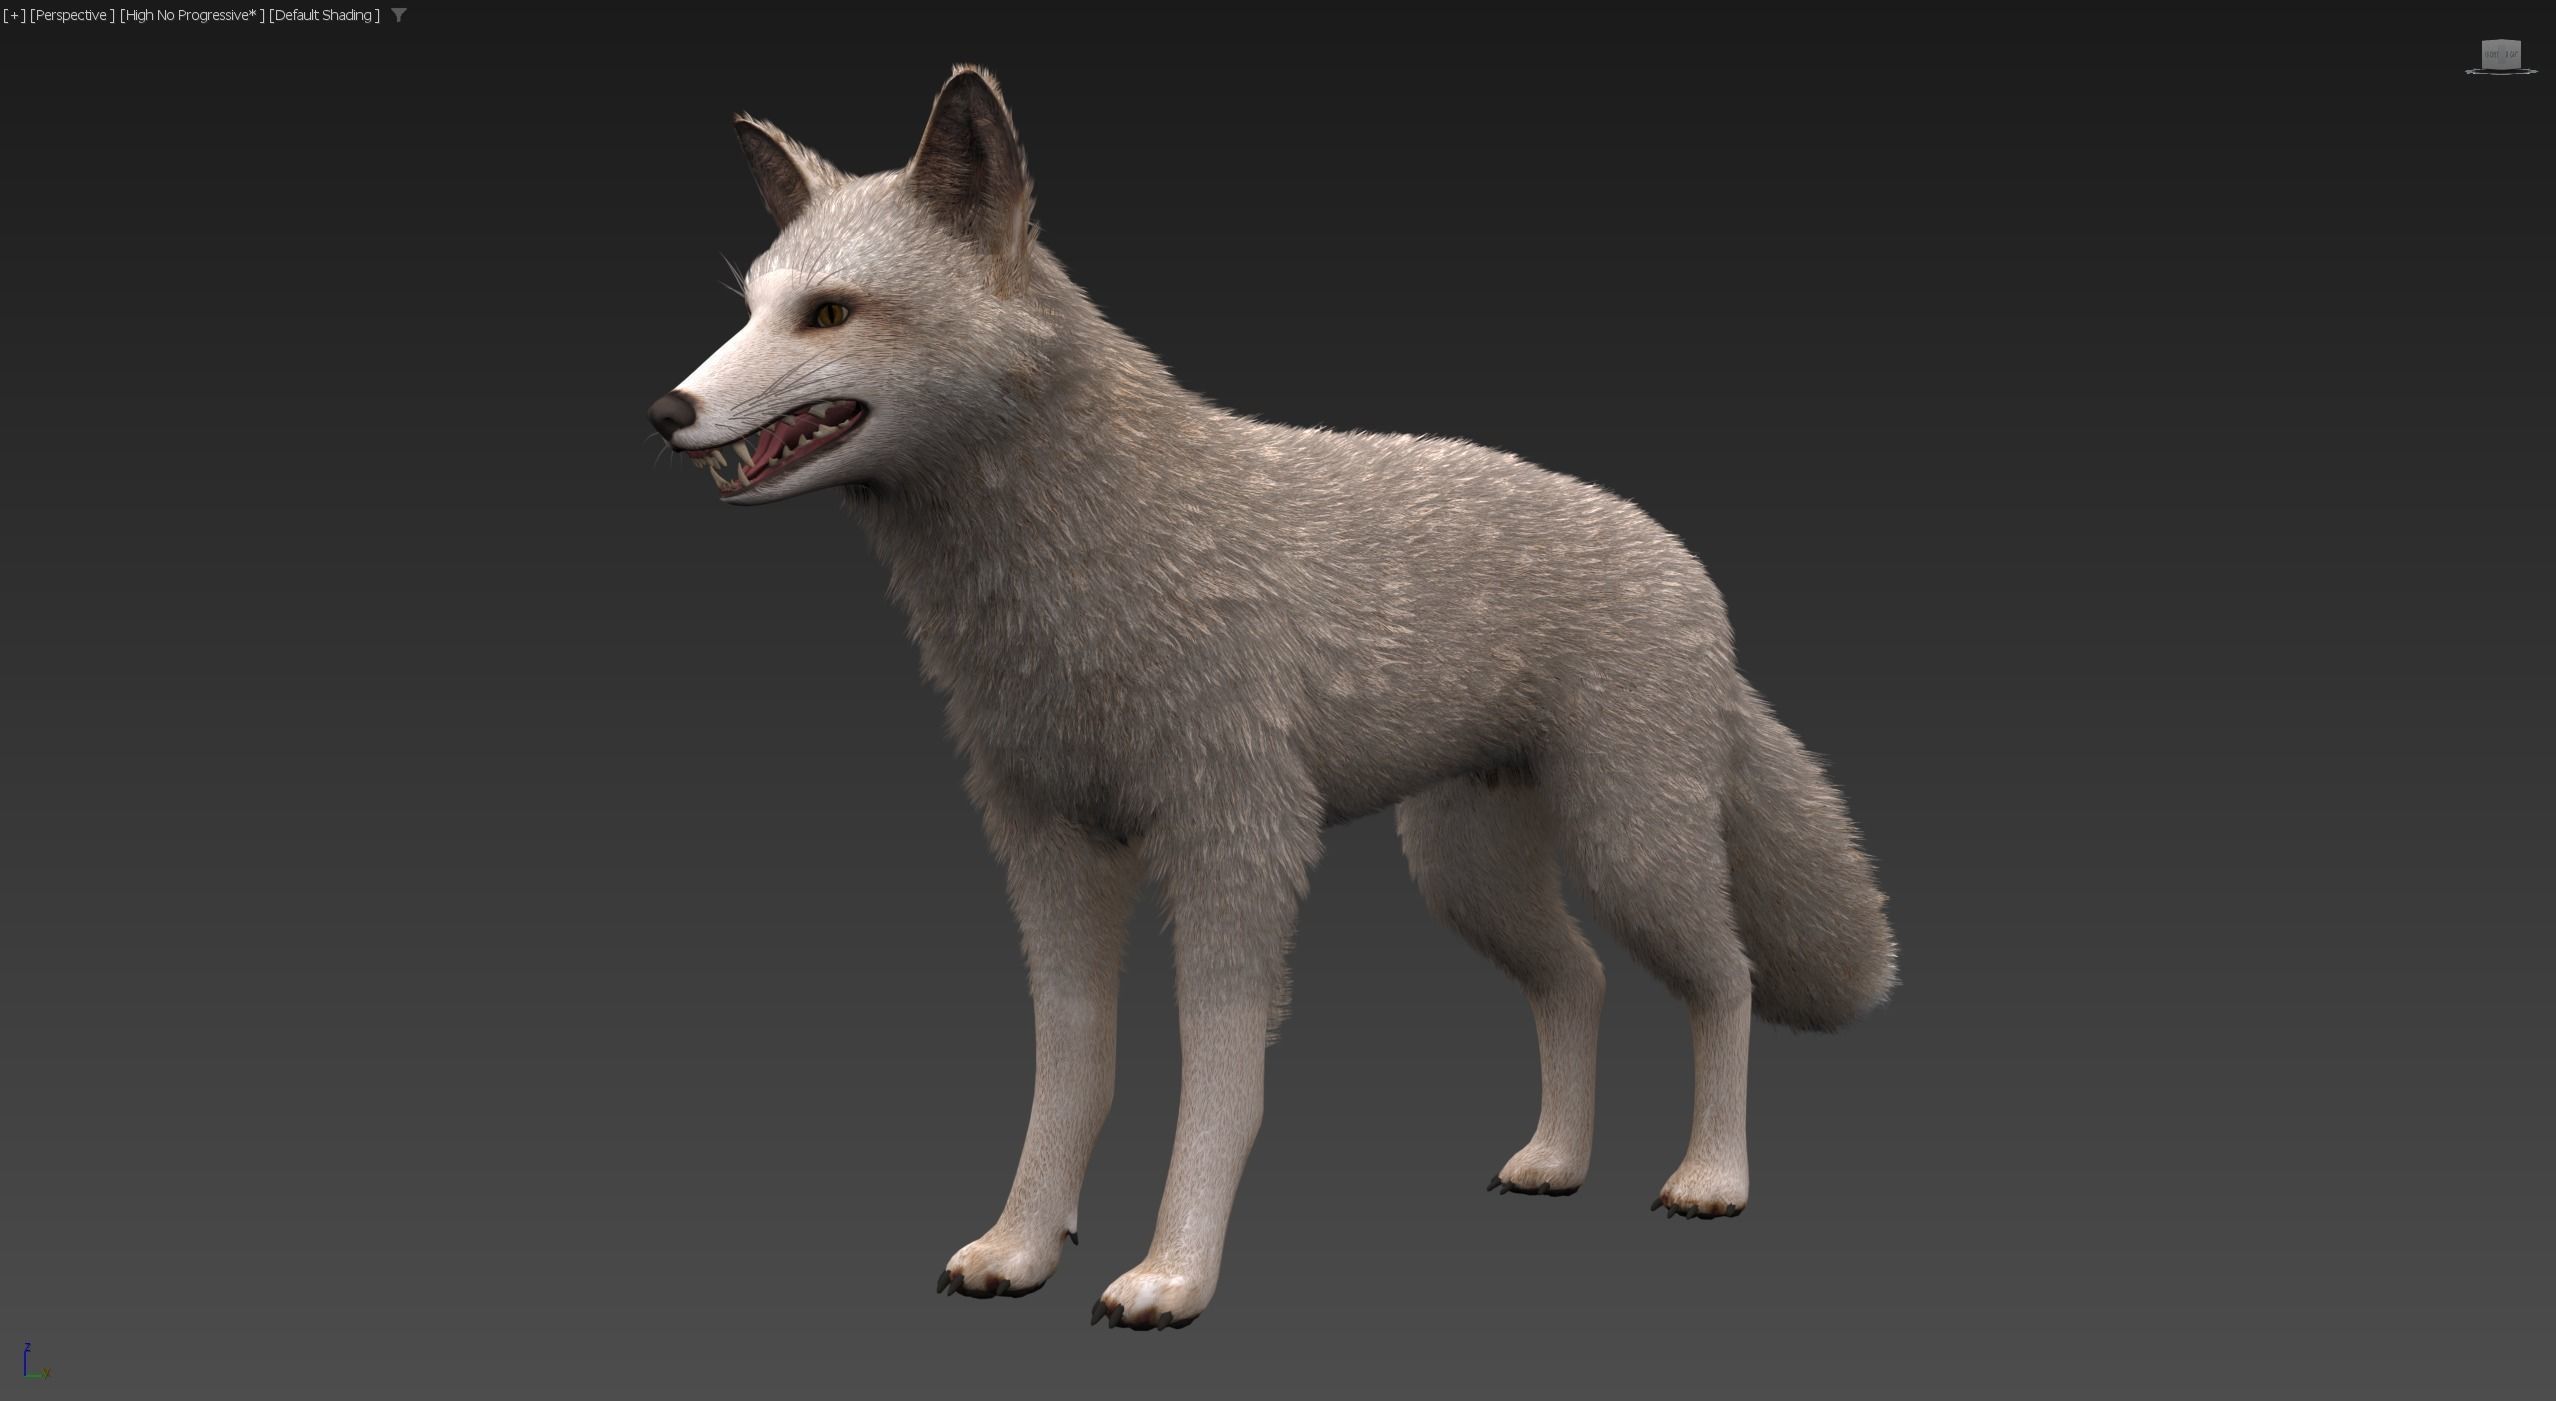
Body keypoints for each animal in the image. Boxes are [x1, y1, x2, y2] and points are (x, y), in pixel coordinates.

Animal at [645, 65, 1897, 1330]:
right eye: (749, 308)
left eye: (829, 315)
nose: (666, 412)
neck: (1083, 570)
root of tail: (1683, 564)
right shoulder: (1051, 845)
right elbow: (1072, 1070)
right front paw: (1021, 1244)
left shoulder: (1236, 840)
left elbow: (1219, 1080)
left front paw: (1170, 1274)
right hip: (1471, 877)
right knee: (1579, 983)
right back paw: (1554, 1161)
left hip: (1629, 849)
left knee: (1727, 983)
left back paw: (1711, 1178)